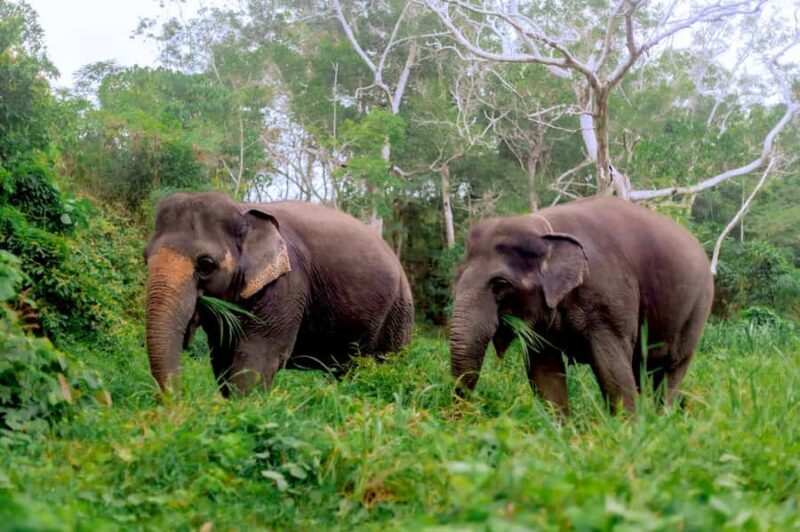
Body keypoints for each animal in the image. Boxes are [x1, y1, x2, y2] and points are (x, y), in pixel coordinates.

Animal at [143, 191, 414, 396]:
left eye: (206, 265)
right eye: (145, 258)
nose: (179, 402)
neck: (242, 208)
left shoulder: (288, 283)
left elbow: (256, 358)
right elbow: (223, 357)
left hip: (398, 311)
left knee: (382, 364)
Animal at [449, 196, 714, 415]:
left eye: (500, 284)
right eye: (457, 277)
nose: (463, 416)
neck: (542, 229)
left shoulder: (608, 299)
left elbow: (612, 370)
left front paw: (627, 430)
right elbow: (544, 372)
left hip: (697, 309)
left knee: (671, 371)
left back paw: (661, 419)